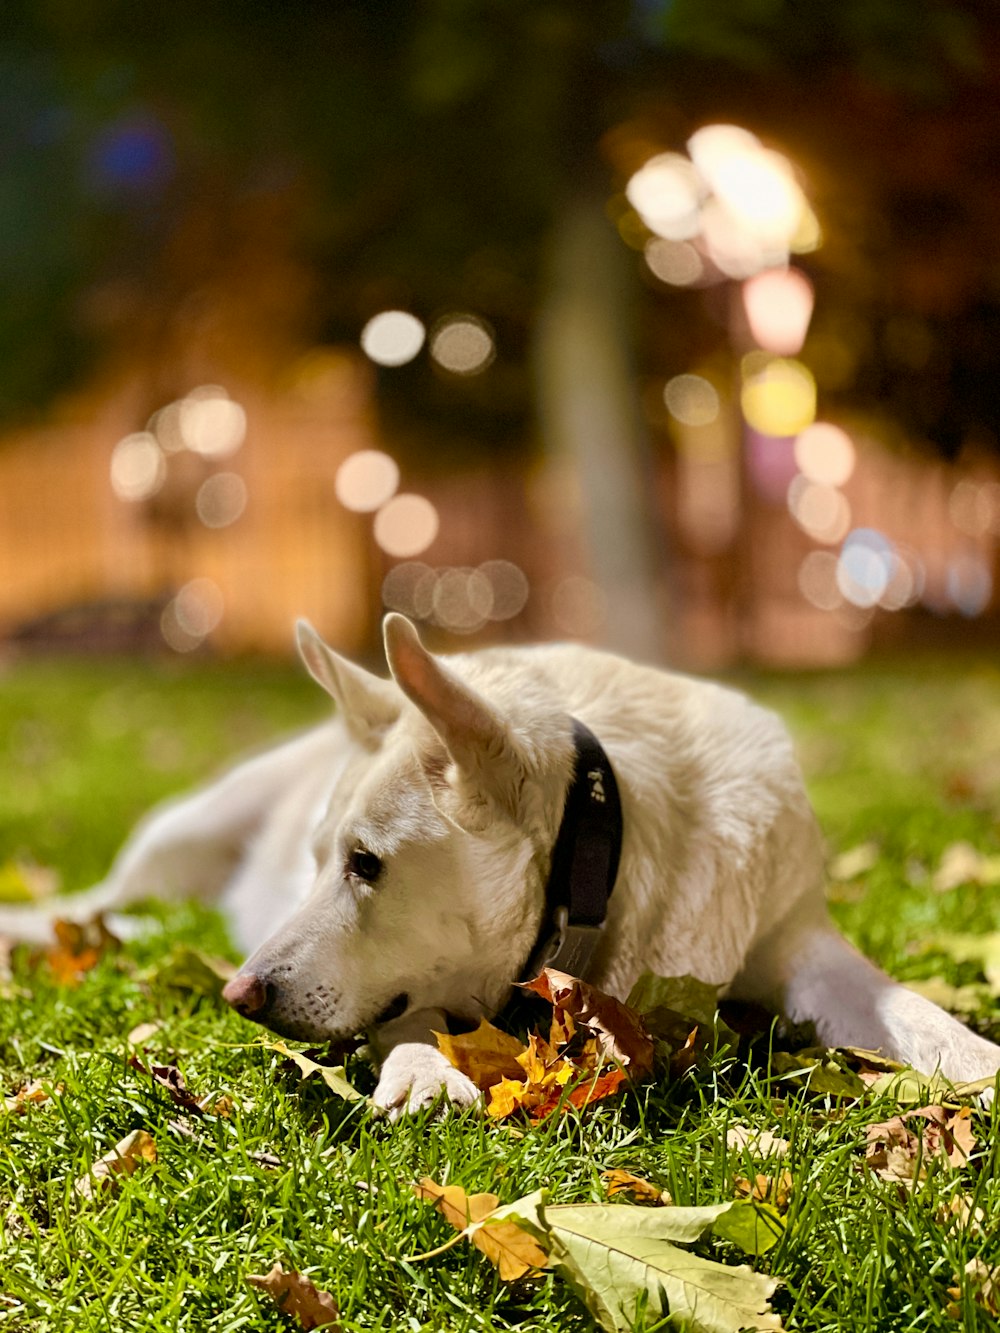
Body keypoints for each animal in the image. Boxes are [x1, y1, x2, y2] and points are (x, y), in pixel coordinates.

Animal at [1, 615, 1000, 1114]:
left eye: (366, 863)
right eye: (320, 859)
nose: (238, 995)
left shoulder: (798, 941)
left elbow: (919, 1016)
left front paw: (977, 1061)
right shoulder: (420, 989)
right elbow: (408, 1021)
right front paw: (421, 1072)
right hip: (183, 829)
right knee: (100, 905)